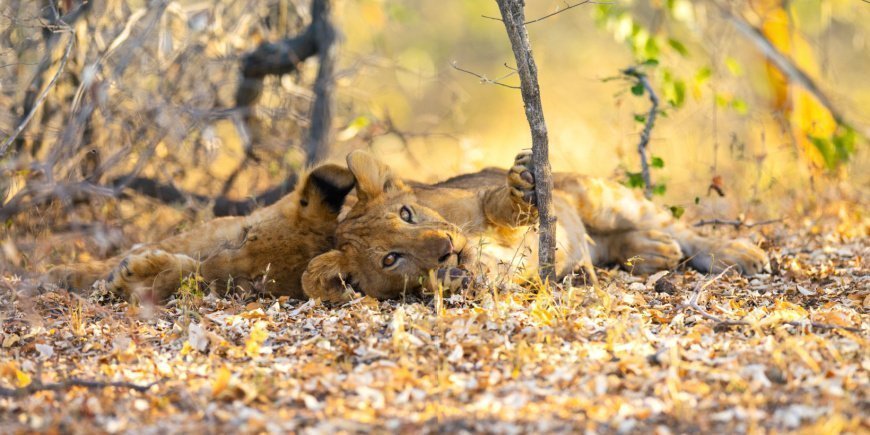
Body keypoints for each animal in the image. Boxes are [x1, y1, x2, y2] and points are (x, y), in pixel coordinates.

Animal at [46, 164, 354, 304]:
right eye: (245, 236)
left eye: (253, 283)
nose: (209, 263)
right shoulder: (200, 236)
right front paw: (61, 274)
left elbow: (187, 271)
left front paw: (135, 276)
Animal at [304, 150, 772, 304]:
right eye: (390, 258)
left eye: (406, 214)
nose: (445, 250)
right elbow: (487, 274)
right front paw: (451, 276)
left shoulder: (480, 200)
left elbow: (498, 204)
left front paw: (521, 184)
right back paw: (652, 252)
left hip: (602, 197)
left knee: (684, 230)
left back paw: (739, 254)